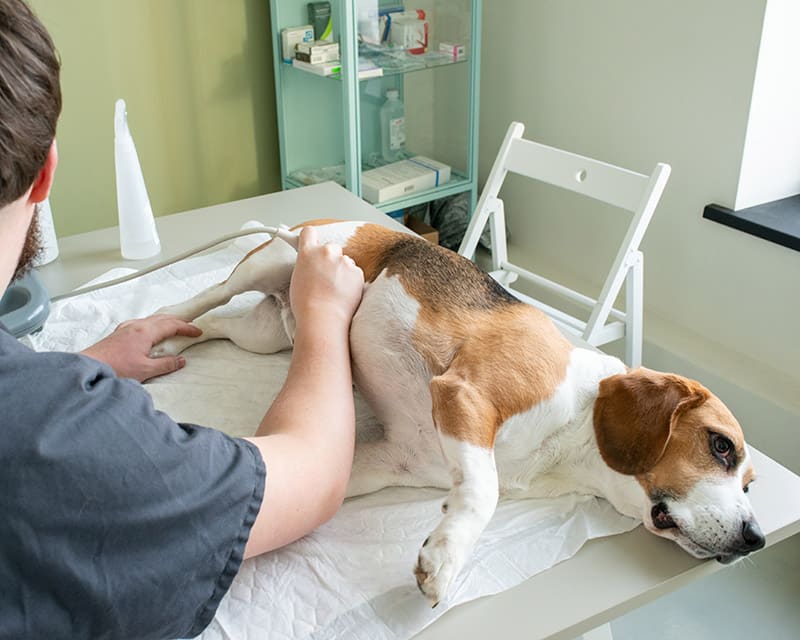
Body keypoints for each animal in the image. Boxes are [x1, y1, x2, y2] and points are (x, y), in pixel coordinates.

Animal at [153, 219, 764, 604]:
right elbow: (482, 490)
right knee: (199, 300)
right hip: (270, 264)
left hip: (265, 337)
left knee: (214, 326)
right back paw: (151, 332)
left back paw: (169, 346)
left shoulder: (390, 460)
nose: (756, 538)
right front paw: (446, 557)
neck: (573, 434)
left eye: (751, 484)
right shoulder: (464, 394)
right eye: (720, 445)